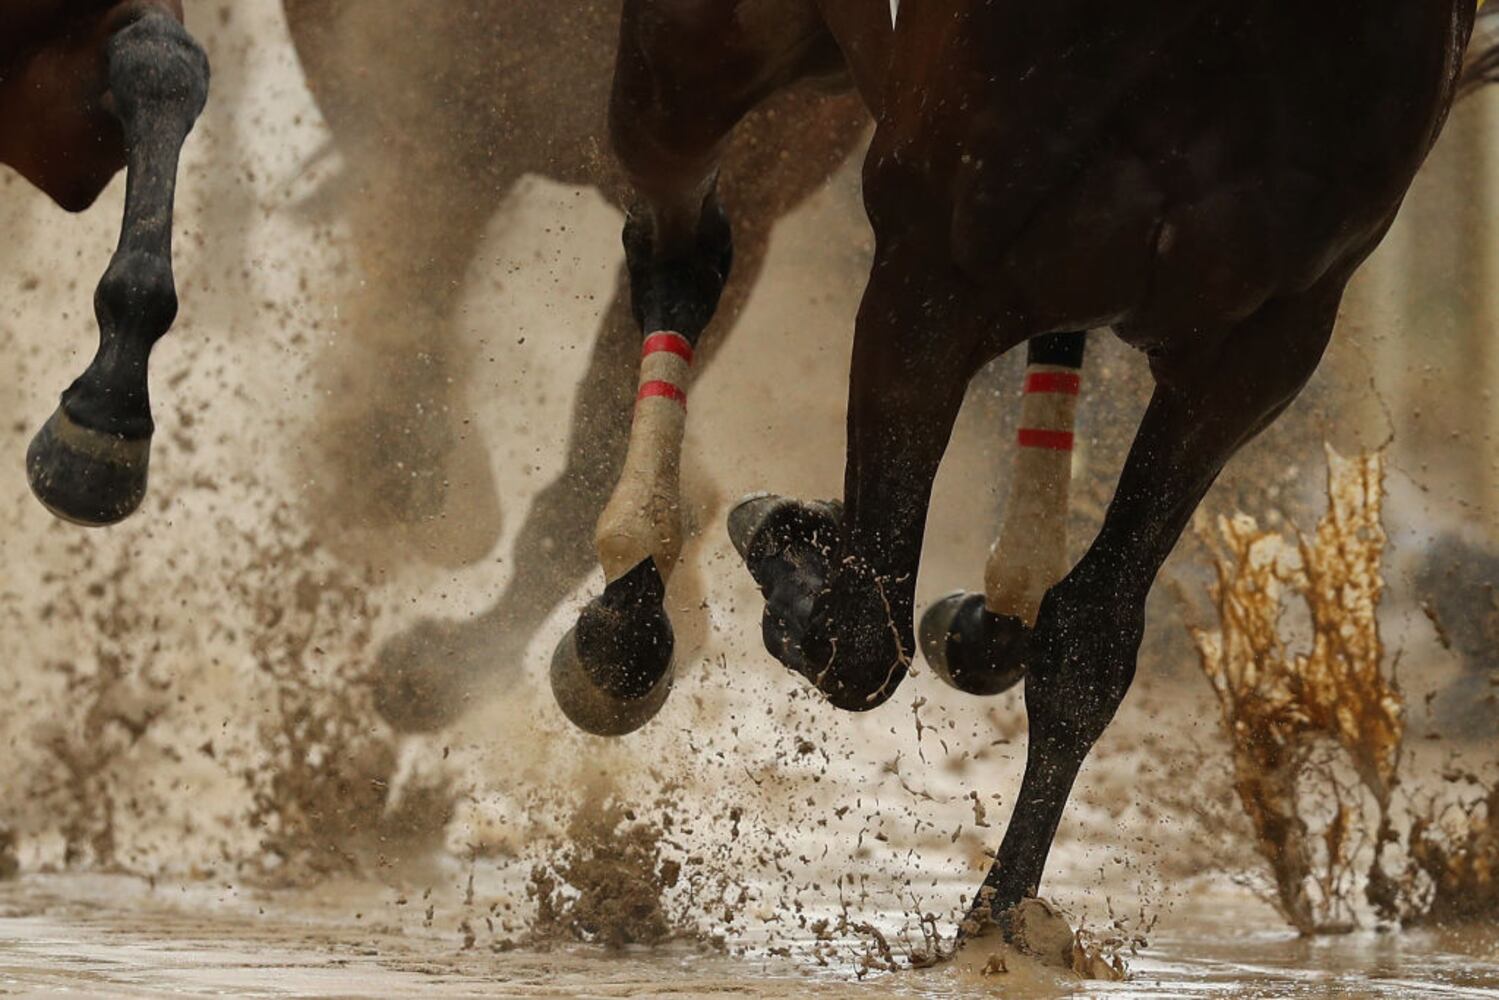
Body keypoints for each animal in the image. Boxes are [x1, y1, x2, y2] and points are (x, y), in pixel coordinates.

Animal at [563, 0, 1499, 941]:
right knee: (680, 245)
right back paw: (627, 610)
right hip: (694, 58)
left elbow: (1088, 641)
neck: (1209, 37)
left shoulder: (1258, 347)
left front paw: (1003, 911)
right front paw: (788, 539)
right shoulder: (930, 266)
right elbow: (861, 634)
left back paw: (991, 606)